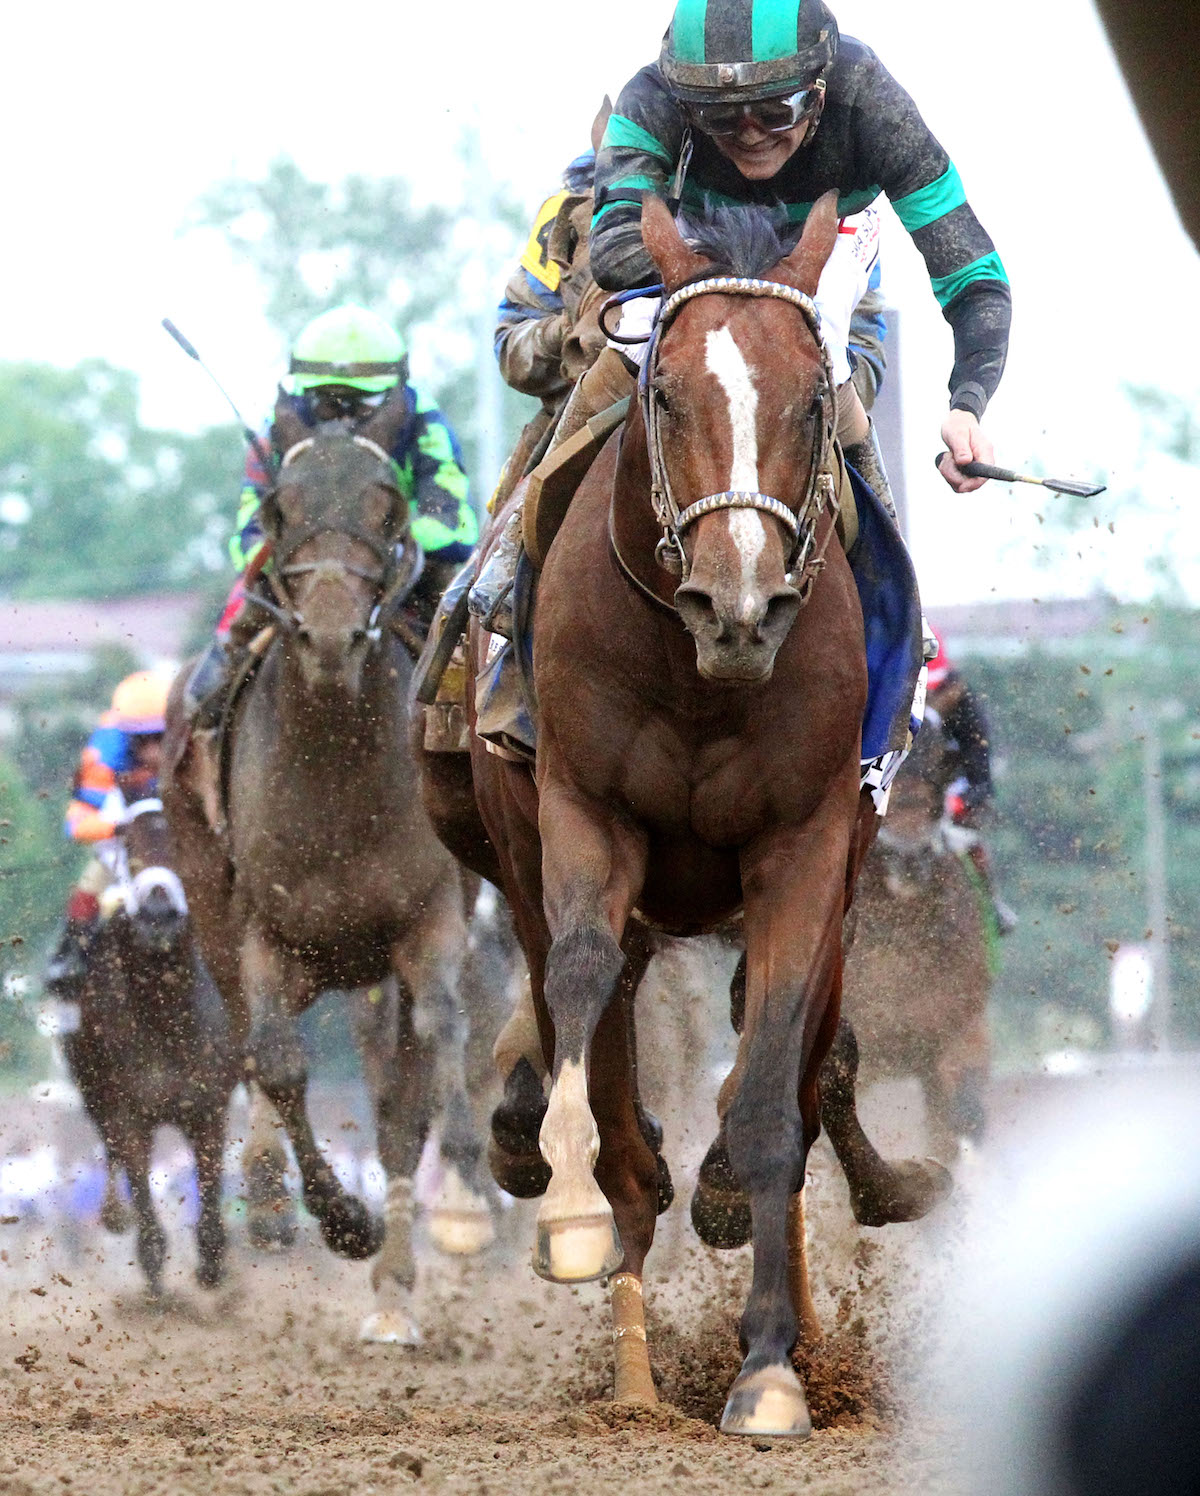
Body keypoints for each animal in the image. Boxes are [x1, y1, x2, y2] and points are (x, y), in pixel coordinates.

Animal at [62, 801, 236, 1292]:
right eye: (132, 850)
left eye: (181, 847)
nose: (158, 912)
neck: (163, 1018)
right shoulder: (127, 1111)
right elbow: (137, 1179)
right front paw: (157, 1278)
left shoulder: (207, 1107)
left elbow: (211, 1196)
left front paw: (213, 1270)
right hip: (92, 1089)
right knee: (111, 1152)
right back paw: (113, 1214)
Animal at [162, 388, 490, 1346]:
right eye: (279, 510)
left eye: (389, 506)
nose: (334, 634)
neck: (337, 773)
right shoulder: (265, 933)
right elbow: (274, 1062)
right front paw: (336, 1218)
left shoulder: (429, 917)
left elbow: (440, 1038)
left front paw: (461, 1182)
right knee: (256, 1054)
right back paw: (275, 1195)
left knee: (397, 1103)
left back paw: (395, 1289)